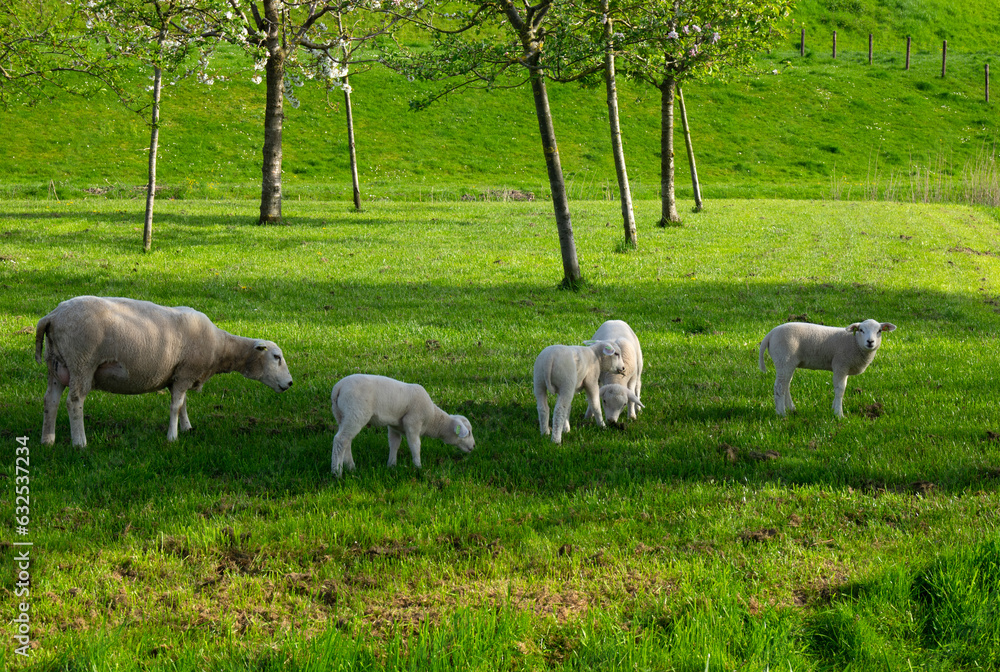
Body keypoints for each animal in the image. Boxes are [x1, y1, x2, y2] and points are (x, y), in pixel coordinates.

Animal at [34, 296, 292, 446]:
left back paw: (47, 440)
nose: (290, 384)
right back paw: (80, 443)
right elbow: (176, 406)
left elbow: (184, 403)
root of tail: (52, 316)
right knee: (74, 401)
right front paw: (172, 437)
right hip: (82, 362)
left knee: (50, 401)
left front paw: (187, 428)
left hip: (57, 365)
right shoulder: (185, 373)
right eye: (276, 357)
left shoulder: (180, 374)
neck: (220, 347)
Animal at [324, 372, 472, 478]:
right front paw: (418, 467)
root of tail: (338, 387)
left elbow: (394, 444)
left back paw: (351, 468)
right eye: (469, 432)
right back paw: (337, 473)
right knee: (341, 440)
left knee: (347, 441)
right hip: (356, 412)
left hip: (342, 415)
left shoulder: (394, 426)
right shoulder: (413, 422)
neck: (432, 419)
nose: (474, 446)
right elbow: (415, 445)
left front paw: (391, 465)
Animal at [756, 318, 900, 418]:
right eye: (861, 330)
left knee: (786, 384)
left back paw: (791, 408)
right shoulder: (840, 365)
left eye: (879, 331)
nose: (870, 342)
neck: (854, 343)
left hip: (788, 363)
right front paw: (839, 414)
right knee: (779, 387)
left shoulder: (844, 368)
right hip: (783, 358)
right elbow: (840, 389)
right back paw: (781, 414)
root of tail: (770, 334)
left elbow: (840, 388)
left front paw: (834, 408)